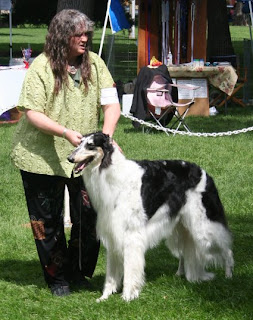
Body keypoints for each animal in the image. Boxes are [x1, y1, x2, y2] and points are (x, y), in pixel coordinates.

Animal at [67, 131, 233, 302]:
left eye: (90, 145)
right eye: (79, 143)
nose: (70, 158)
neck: (113, 174)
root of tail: (204, 173)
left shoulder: (131, 236)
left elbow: (130, 270)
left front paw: (127, 296)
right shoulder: (113, 233)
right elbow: (111, 274)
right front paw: (105, 296)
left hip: (204, 226)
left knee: (226, 248)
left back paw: (228, 275)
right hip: (182, 227)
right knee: (184, 253)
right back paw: (180, 274)